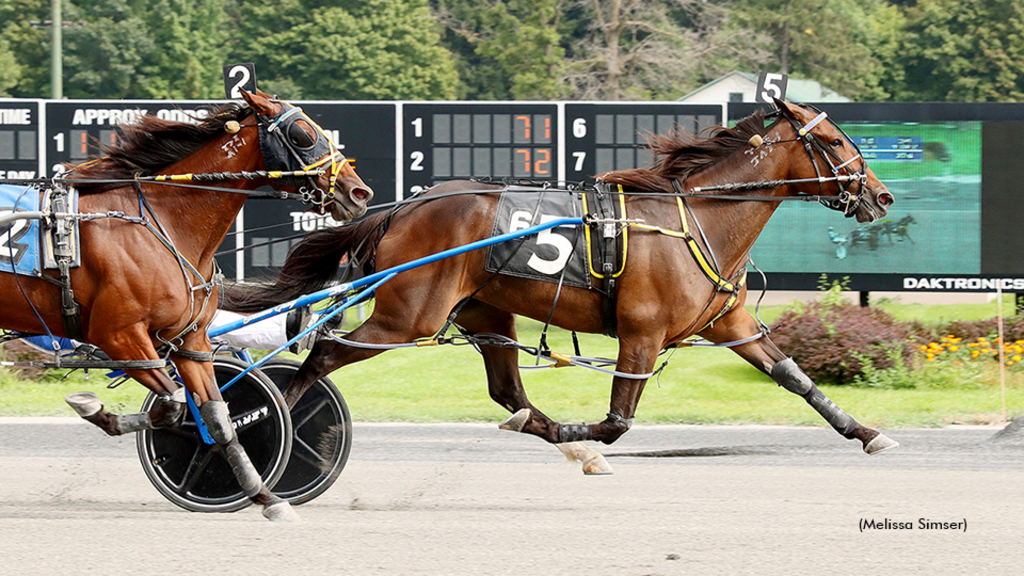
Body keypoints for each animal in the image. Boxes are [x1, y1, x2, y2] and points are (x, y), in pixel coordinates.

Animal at [0, 88, 376, 516]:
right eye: (302, 133)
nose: (358, 192)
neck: (160, 222)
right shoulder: (120, 336)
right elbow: (172, 406)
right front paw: (93, 408)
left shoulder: (189, 342)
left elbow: (218, 417)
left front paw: (266, 497)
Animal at [222, 98, 897, 467]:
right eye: (834, 140)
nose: (881, 195)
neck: (696, 217)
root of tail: (400, 208)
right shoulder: (642, 332)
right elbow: (618, 420)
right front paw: (588, 433)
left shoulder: (730, 323)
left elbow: (795, 377)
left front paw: (867, 432)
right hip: (406, 316)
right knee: (321, 356)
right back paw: (273, 429)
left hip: (482, 311)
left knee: (508, 393)